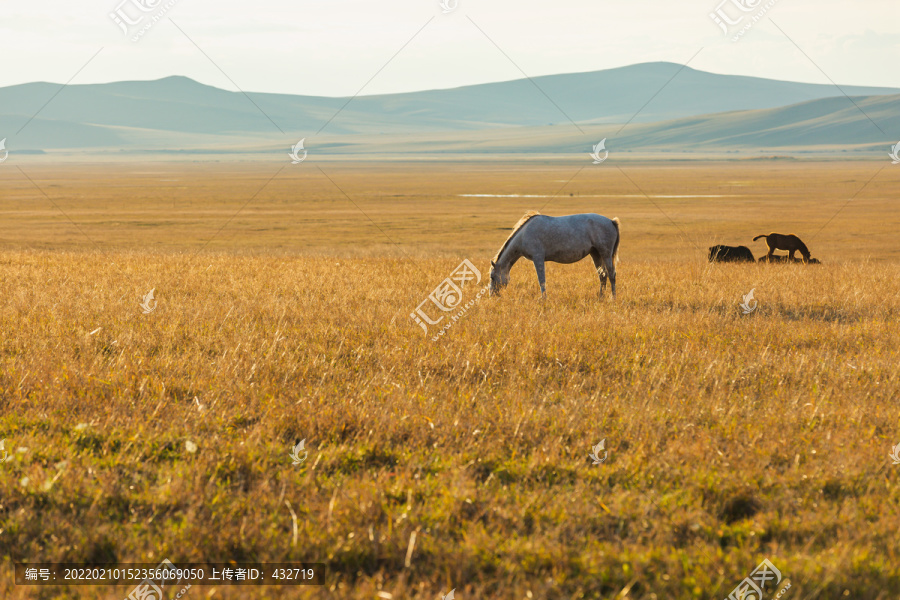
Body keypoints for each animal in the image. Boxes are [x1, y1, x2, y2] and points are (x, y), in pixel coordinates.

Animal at [488, 211, 624, 298]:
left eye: (492, 277)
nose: (492, 296)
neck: (524, 235)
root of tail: (611, 221)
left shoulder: (538, 258)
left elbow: (541, 280)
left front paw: (543, 299)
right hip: (595, 254)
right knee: (602, 276)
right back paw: (601, 297)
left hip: (605, 254)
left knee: (611, 275)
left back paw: (613, 298)